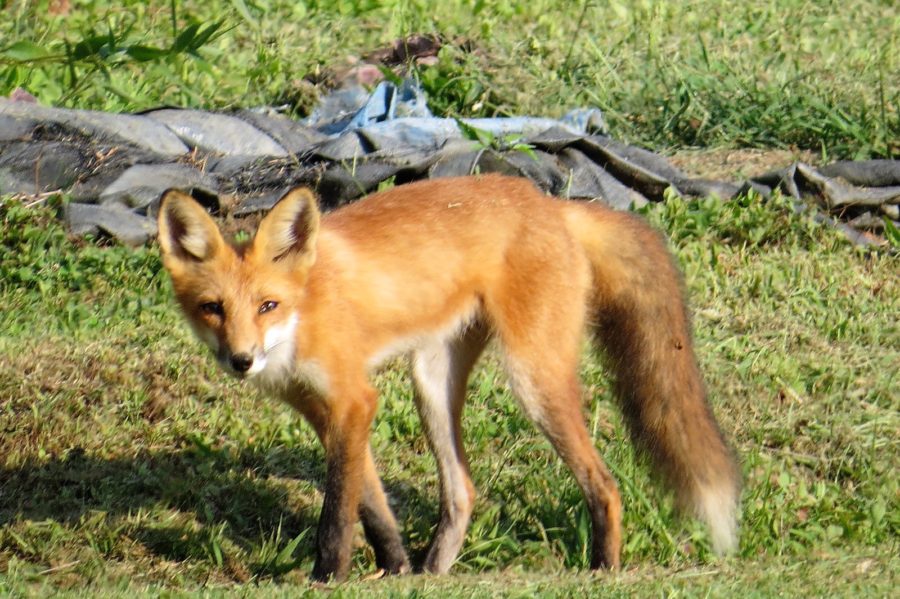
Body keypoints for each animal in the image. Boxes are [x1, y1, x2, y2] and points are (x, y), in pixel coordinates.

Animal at [157, 174, 740, 582]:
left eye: (267, 305)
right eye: (213, 308)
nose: (241, 360)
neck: (304, 315)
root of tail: (552, 204)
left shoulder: (354, 401)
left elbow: (338, 513)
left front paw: (328, 578)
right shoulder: (326, 414)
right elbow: (373, 506)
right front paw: (396, 571)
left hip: (533, 381)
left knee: (606, 484)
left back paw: (604, 569)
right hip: (432, 383)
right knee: (463, 492)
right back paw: (434, 572)